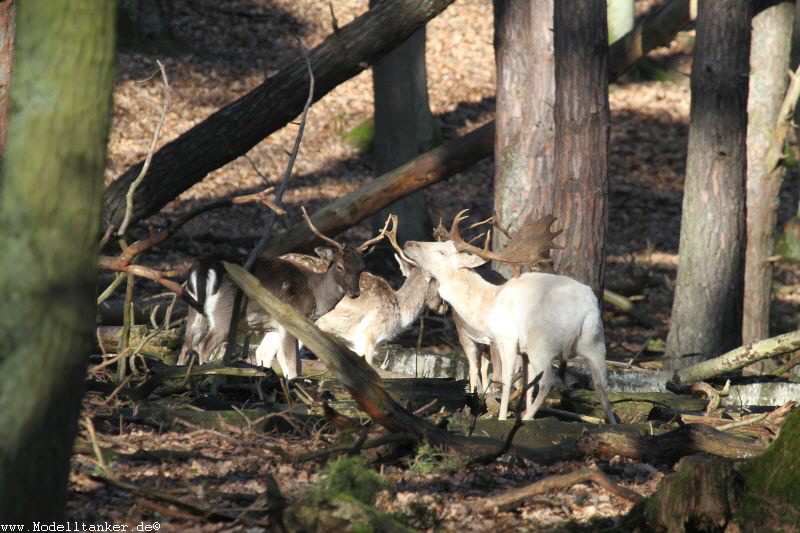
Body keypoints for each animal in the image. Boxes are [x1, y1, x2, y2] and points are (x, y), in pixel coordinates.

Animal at [178, 207, 384, 378]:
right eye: (340, 266)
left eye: (362, 267)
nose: (355, 292)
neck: (315, 292)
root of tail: (202, 269)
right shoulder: (292, 319)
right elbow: (293, 366)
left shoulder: (275, 326)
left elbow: (282, 362)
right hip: (224, 313)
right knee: (203, 346)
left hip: (194, 310)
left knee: (186, 345)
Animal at [404, 210, 616, 422]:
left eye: (442, 252)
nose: (408, 243)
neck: (487, 307)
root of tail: (583, 309)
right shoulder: (524, 351)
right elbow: (526, 383)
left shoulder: (506, 339)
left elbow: (504, 380)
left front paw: (502, 416)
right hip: (596, 342)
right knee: (602, 387)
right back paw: (611, 422)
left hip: (542, 343)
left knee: (548, 382)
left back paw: (527, 417)